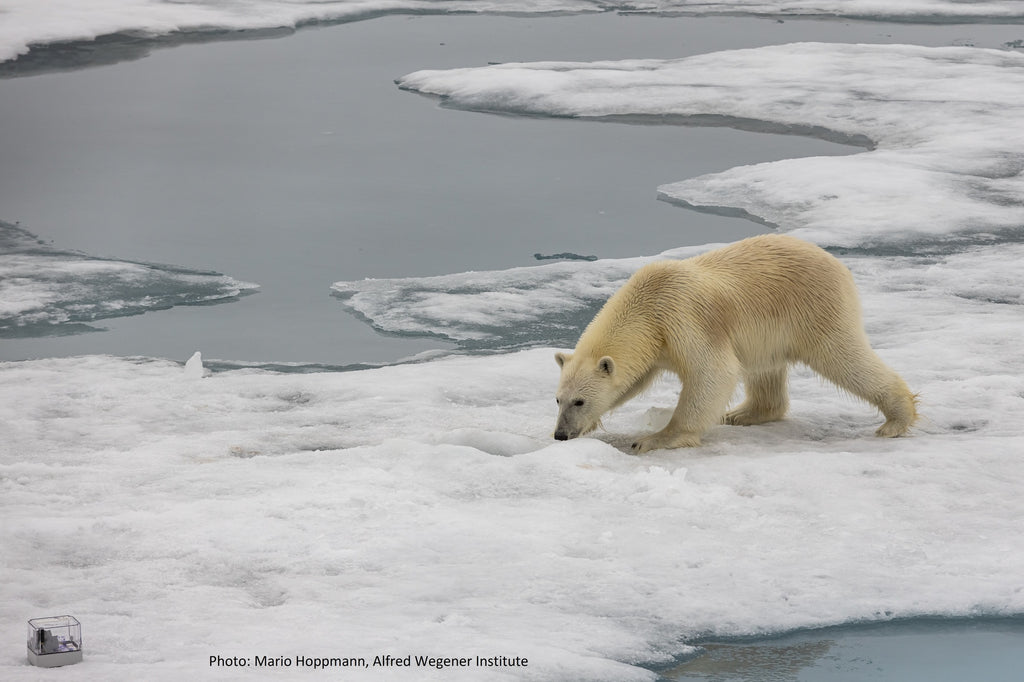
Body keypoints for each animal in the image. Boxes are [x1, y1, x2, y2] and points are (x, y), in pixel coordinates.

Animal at [553, 234, 917, 452]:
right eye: (558, 400)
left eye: (579, 401)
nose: (560, 434)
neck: (648, 304)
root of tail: (836, 262)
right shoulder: (657, 345)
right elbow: (634, 381)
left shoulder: (682, 318)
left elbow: (713, 372)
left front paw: (654, 439)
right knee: (765, 370)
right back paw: (741, 414)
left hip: (814, 310)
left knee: (845, 359)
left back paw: (896, 420)